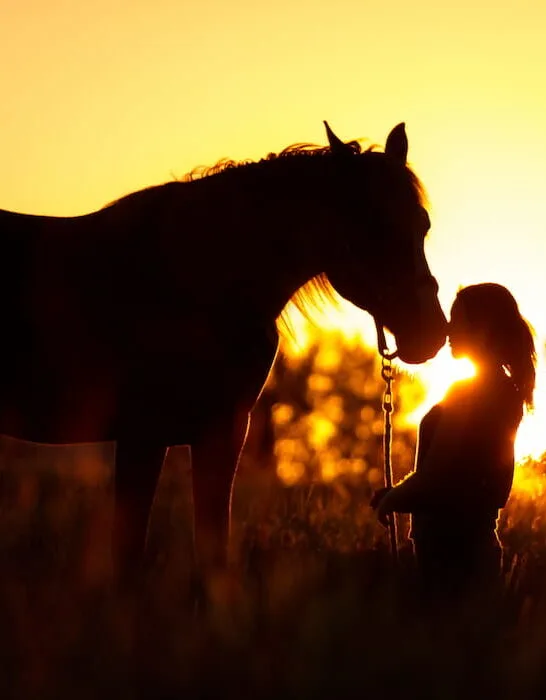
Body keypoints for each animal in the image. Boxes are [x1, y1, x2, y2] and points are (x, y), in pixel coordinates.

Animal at [0, 121, 446, 596]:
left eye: (422, 224)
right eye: (372, 227)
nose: (432, 333)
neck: (194, 281)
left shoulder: (222, 432)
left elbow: (214, 547)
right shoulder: (143, 434)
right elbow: (129, 552)